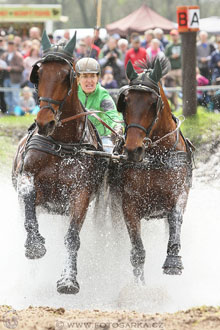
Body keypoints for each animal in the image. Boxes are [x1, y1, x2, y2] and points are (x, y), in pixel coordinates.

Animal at [12, 31, 106, 294]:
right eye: (39, 74)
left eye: (66, 75)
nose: (45, 122)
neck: (61, 145)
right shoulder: (27, 177)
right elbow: (28, 202)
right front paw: (34, 245)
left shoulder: (81, 193)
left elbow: (72, 237)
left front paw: (68, 279)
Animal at [109, 57, 193, 284]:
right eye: (125, 102)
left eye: (152, 103)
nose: (133, 149)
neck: (155, 157)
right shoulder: (129, 205)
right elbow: (137, 251)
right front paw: (140, 287)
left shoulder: (179, 193)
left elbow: (176, 217)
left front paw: (173, 261)